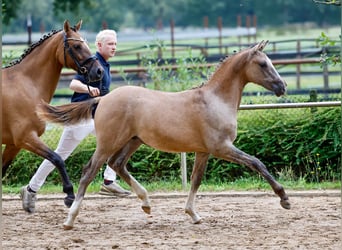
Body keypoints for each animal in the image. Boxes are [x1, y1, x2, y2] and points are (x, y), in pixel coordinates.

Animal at [1, 20, 103, 207]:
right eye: (77, 46)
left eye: (85, 43)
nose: (98, 71)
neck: (26, 84)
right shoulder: (26, 137)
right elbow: (57, 159)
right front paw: (69, 194)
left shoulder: (14, 144)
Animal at [36, 40, 290, 229]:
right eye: (263, 64)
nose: (282, 87)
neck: (214, 100)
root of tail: (102, 99)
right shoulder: (222, 147)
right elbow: (256, 163)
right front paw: (284, 198)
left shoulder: (204, 152)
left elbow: (196, 180)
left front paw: (193, 214)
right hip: (109, 142)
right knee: (89, 171)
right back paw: (70, 218)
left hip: (132, 141)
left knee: (117, 164)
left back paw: (146, 203)